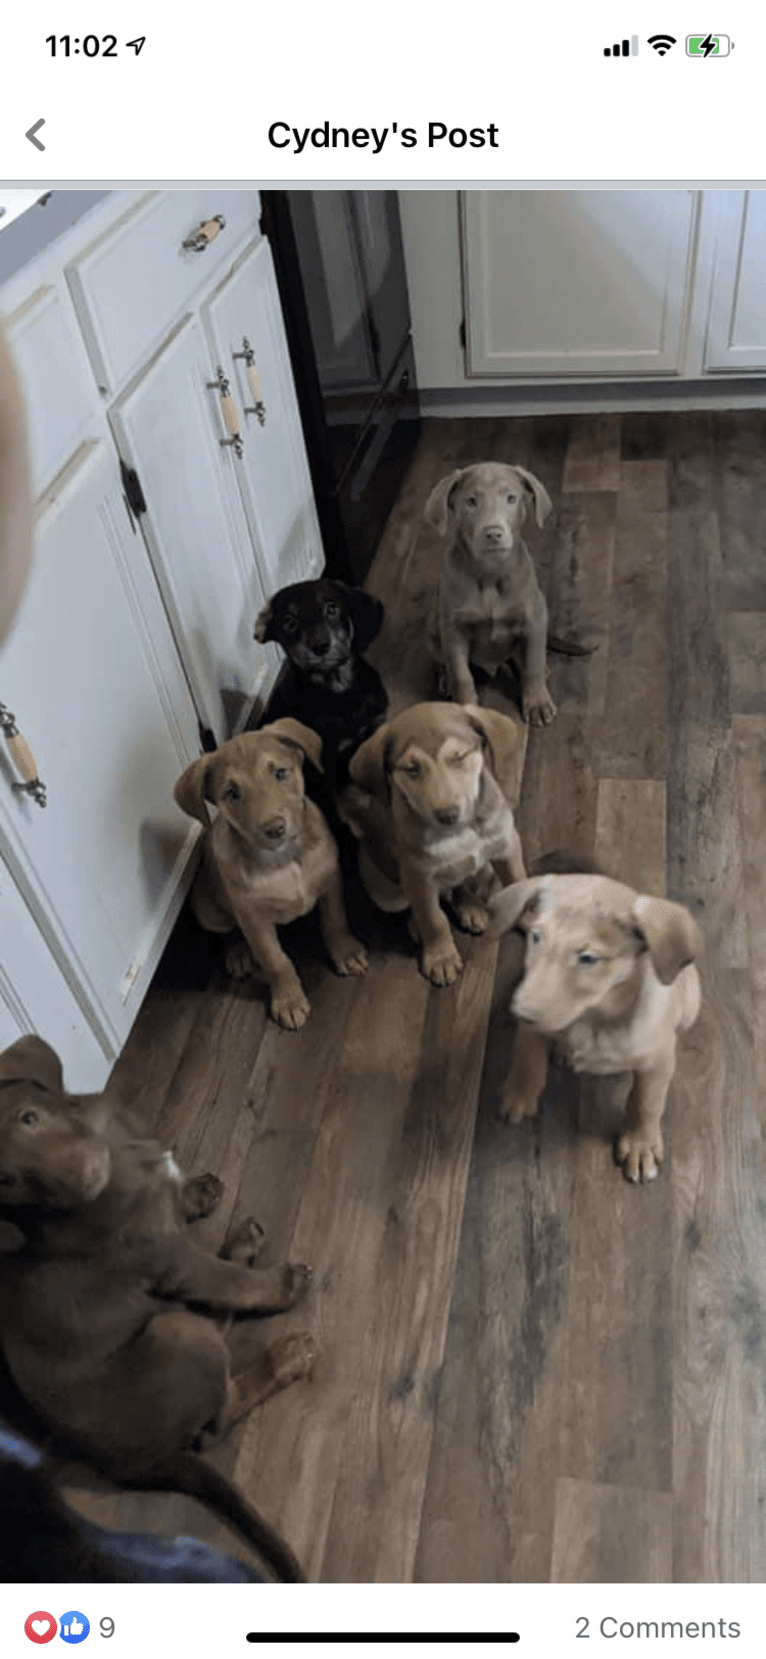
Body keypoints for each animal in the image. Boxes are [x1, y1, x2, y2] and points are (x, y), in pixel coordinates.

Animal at [174, 720, 366, 1028]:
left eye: (280, 773)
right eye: (232, 793)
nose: (275, 828)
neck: (283, 859)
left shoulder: (330, 881)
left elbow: (335, 921)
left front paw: (346, 952)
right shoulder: (254, 919)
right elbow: (276, 960)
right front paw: (288, 999)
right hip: (207, 909)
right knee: (229, 931)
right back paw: (238, 953)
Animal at [255, 583, 389, 789]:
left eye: (331, 609)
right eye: (289, 622)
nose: (320, 646)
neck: (339, 692)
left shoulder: (374, 729)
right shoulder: (324, 767)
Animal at [343, 700, 527, 982]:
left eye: (459, 757)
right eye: (411, 769)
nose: (447, 815)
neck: (461, 831)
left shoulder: (506, 846)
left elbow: (518, 880)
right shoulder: (418, 877)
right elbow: (433, 919)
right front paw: (441, 957)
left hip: (482, 868)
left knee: (461, 884)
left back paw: (470, 906)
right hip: (383, 890)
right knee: (416, 907)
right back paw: (419, 926)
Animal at [424, 464, 593, 729]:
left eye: (511, 499)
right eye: (471, 501)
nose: (493, 533)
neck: (490, 573)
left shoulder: (534, 617)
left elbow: (532, 664)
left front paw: (537, 703)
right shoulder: (453, 629)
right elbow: (461, 675)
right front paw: (465, 707)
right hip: (433, 627)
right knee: (444, 662)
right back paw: (445, 681)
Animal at [487, 882, 702, 1181]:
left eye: (588, 958)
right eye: (536, 937)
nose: (520, 1013)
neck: (592, 1018)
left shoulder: (657, 1061)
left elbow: (647, 1102)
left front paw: (641, 1145)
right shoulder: (533, 1026)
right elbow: (526, 1058)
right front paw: (519, 1094)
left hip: (691, 1002)